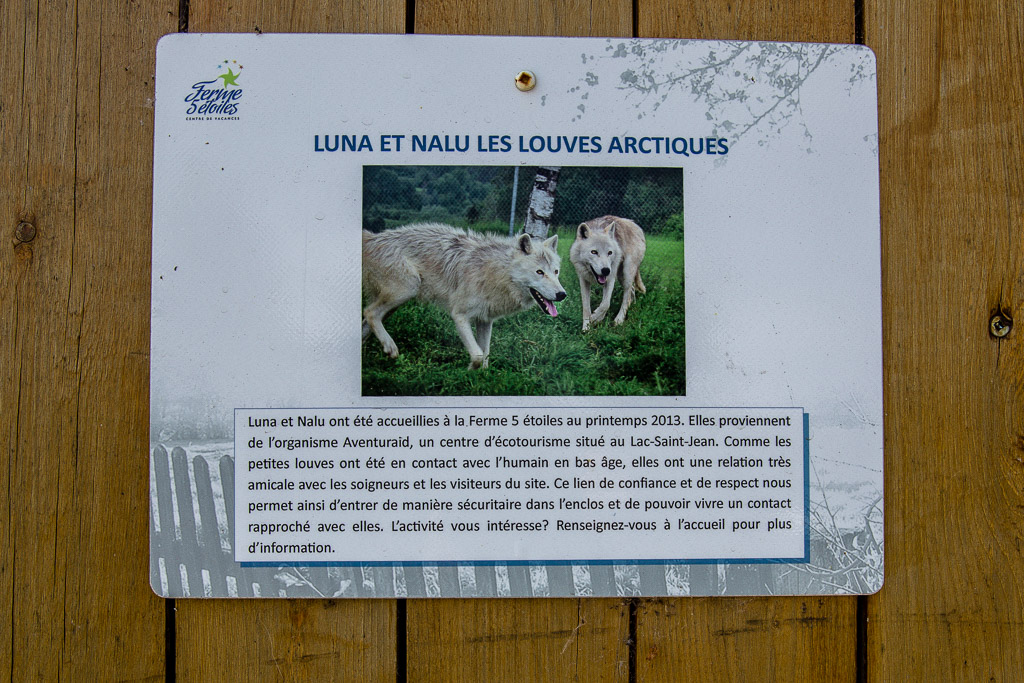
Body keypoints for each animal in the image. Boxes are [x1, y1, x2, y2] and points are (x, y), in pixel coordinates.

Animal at [362, 224, 569, 368]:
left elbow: (485, 355)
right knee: (370, 312)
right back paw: (390, 347)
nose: (562, 294)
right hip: (407, 290)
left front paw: (480, 378)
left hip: (395, 304)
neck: (497, 272)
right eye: (540, 272)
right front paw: (470, 369)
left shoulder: (485, 320)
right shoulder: (459, 315)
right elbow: (477, 354)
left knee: (367, 319)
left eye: (556, 272)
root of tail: (371, 238)